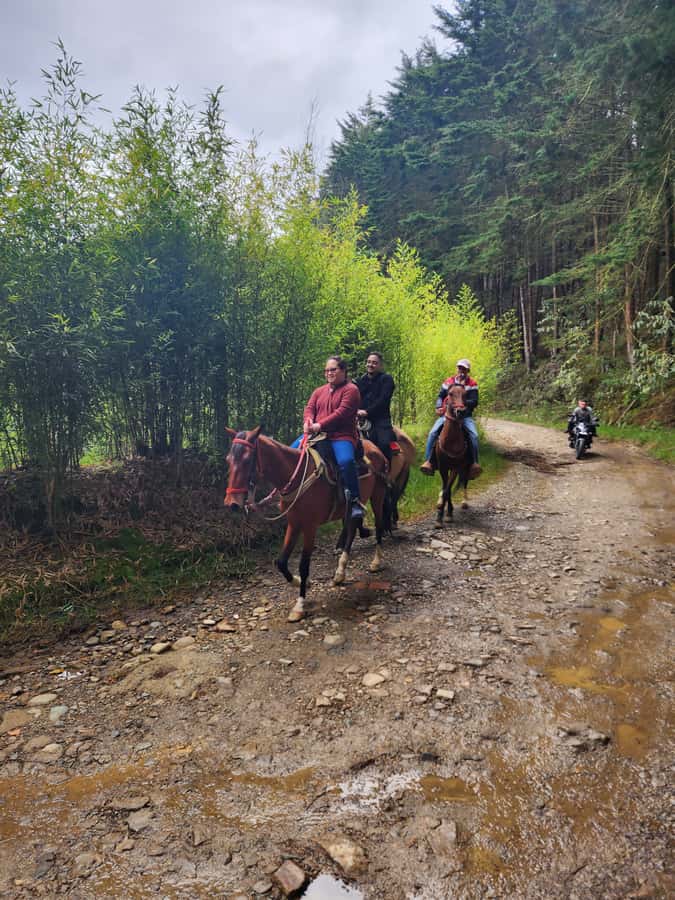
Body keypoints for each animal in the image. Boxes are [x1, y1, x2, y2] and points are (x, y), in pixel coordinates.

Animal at [224, 427, 389, 622]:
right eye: (228, 459)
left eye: (247, 460)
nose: (232, 504)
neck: (294, 476)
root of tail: (375, 448)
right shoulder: (294, 523)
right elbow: (281, 562)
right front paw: (298, 582)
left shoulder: (310, 526)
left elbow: (303, 565)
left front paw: (299, 605)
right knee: (351, 529)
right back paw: (340, 572)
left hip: (378, 494)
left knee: (378, 525)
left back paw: (376, 562)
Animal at [434, 384, 473, 527]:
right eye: (450, 394)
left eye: (465, 395)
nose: (461, 412)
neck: (451, 441)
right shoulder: (443, 467)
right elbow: (446, 488)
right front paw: (442, 513)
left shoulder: (456, 468)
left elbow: (448, 489)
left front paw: (445, 514)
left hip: (465, 467)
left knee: (465, 481)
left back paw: (464, 502)